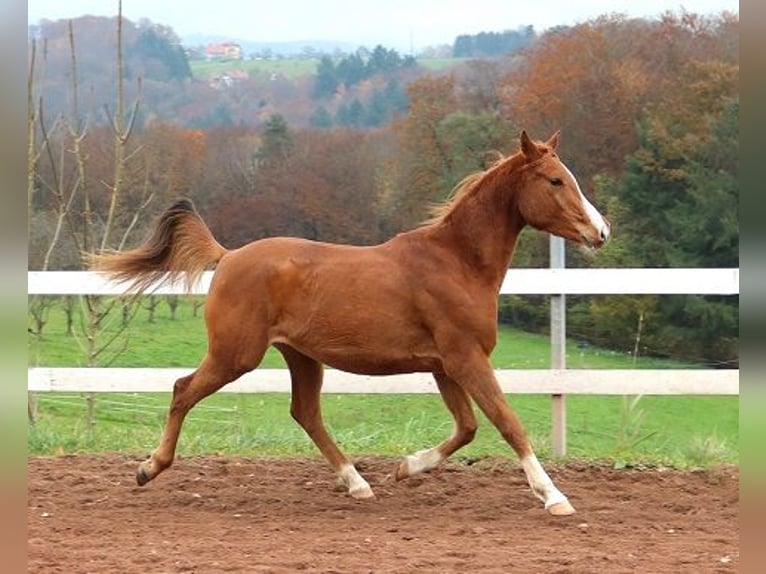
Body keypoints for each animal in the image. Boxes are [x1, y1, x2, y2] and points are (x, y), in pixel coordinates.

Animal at [93, 130, 616, 516]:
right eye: (555, 180)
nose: (601, 231)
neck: (457, 261)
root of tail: (228, 256)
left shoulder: (445, 365)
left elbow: (467, 428)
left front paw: (405, 467)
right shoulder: (465, 358)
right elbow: (508, 423)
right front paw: (555, 497)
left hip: (300, 357)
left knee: (305, 413)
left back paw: (358, 483)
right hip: (234, 355)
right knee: (183, 390)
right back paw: (149, 468)